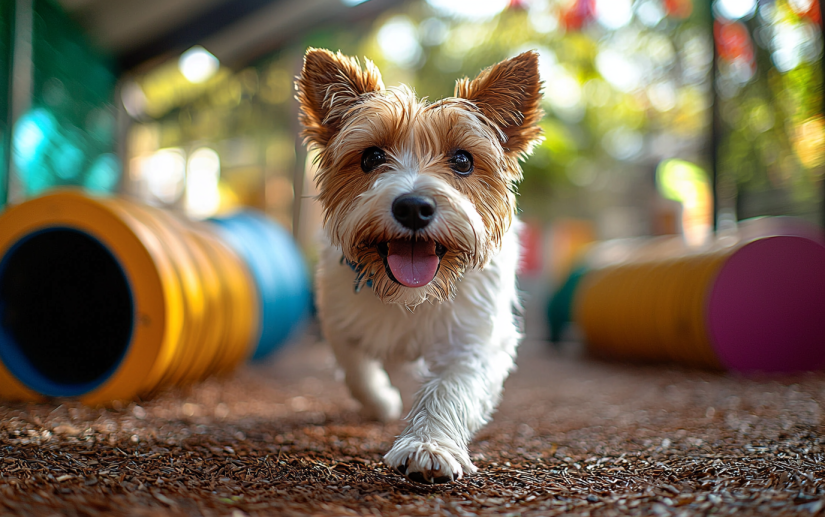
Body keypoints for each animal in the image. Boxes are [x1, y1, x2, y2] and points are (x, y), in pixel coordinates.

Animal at [294, 48, 540, 484]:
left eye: (462, 160)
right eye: (372, 156)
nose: (412, 206)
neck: (411, 293)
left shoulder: (473, 342)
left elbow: (450, 390)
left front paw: (428, 446)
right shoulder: (338, 318)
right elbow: (356, 368)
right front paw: (382, 402)